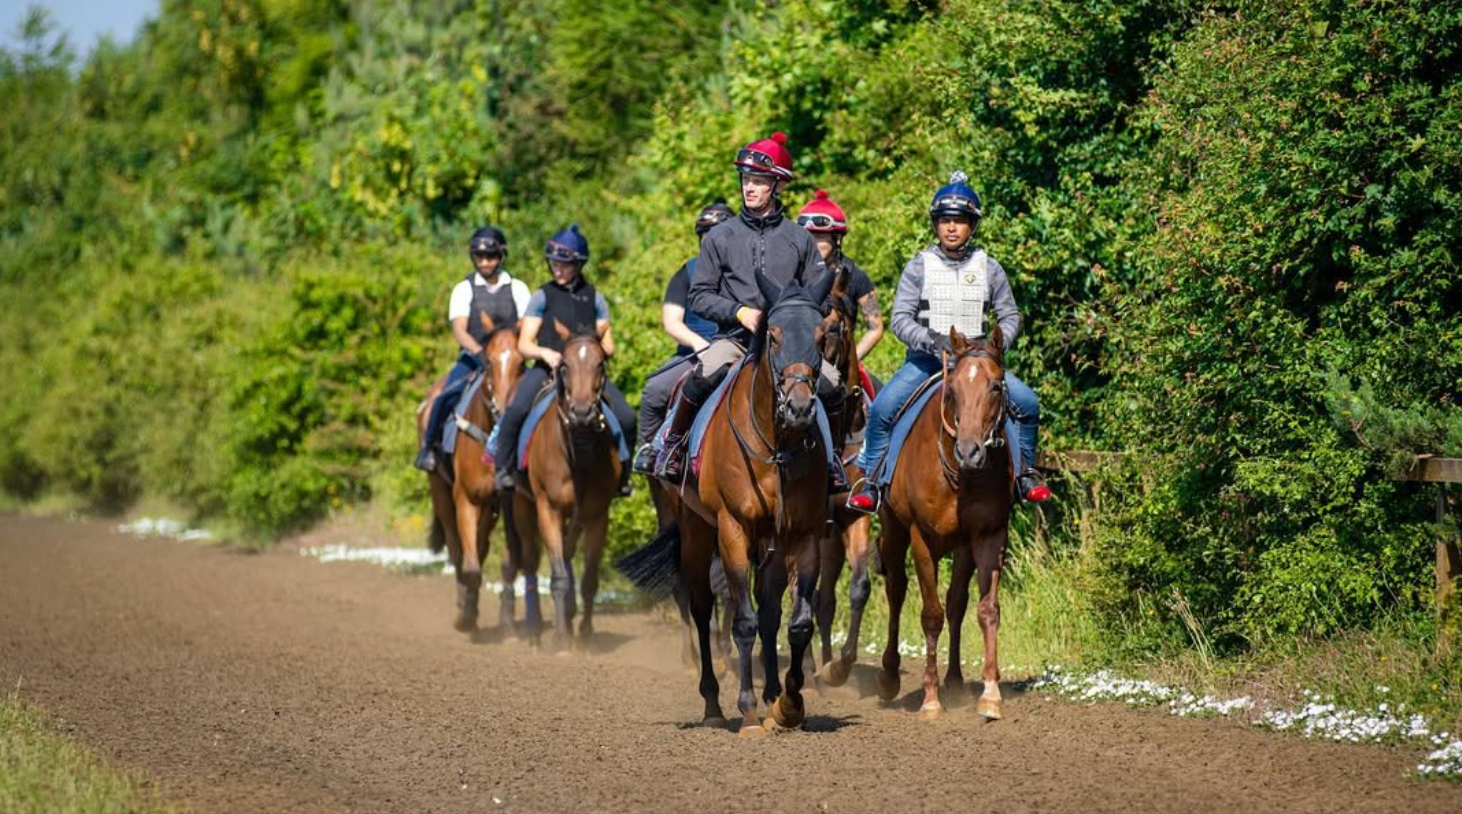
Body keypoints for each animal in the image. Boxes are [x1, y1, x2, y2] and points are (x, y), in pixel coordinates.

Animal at [420, 317, 524, 634]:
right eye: (489, 362)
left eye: (522, 362)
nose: (504, 408)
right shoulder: (466, 498)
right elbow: (470, 565)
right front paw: (465, 617)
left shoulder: (506, 503)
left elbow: (508, 563)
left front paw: (507, 622)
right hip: (440, 491)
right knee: (457, 550)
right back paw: (463, 604)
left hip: (489, 507)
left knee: (480, 545)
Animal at [509, 322, 623, 651]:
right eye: (564, 365)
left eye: (600, 364)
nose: (582, 413)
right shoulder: (548, 508)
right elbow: (558, 575)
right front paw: (561, 639)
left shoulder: (597, 515)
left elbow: (589, 580)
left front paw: (583, 635)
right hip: (522, 505)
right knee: (531, 562)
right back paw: (535, 629)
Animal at [876, 325, 1014, 721]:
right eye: (952, 390)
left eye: (995, 386)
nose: (970, 451)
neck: (961, 476)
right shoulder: (922, 539)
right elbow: (931, 615)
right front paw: (930, 700)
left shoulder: (990, 535)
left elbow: (987, 610)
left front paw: (990, 694)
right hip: (892, 531)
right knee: (897, 591)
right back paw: (890, 677)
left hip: (963, 546)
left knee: (957, 602)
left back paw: (954, 682)